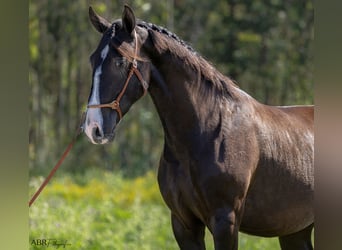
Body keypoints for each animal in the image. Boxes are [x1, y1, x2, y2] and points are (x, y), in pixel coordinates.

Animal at [84, 5, 314, 250]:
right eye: (92, 60)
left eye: (120, 61)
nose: (93, 127)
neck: (207, 132)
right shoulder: (183, 223)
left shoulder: (225, 222)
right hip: (295, 231)